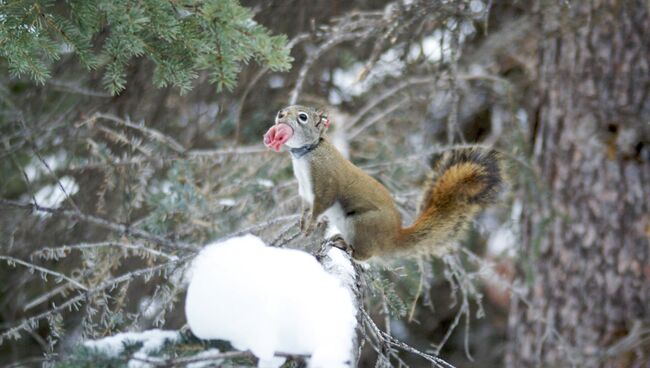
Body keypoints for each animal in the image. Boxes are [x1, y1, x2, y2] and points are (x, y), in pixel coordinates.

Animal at [262, 105, 502, 260]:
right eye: (288, 107)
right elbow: (305, 207)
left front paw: (310, 225)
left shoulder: (325, 183)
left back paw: (347, 247)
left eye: (302, 117)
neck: (307, 152)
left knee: (365, 255)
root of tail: (393, 237)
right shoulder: (305, 190)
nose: (280, 114)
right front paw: (303, 223)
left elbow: (321, 204)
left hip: (361, 224)